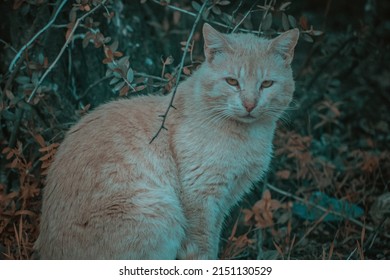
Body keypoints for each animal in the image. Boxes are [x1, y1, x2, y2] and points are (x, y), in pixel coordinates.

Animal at [35, 23, 300, 260]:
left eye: (267, 84)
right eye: (232, 82)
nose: (249, 104)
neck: (247, 136)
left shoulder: (223, 202)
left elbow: (213, 241)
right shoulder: (200, 196)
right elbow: (201, 248)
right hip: (160, 211)